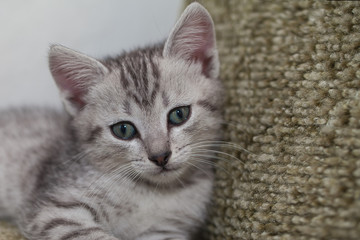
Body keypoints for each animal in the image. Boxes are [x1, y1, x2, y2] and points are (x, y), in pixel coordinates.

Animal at [0, 2, 224, 240]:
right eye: (123, 130)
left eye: (179, 114)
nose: (160, 156)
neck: (155, 191)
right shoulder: (54, 210)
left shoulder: (166, 229)